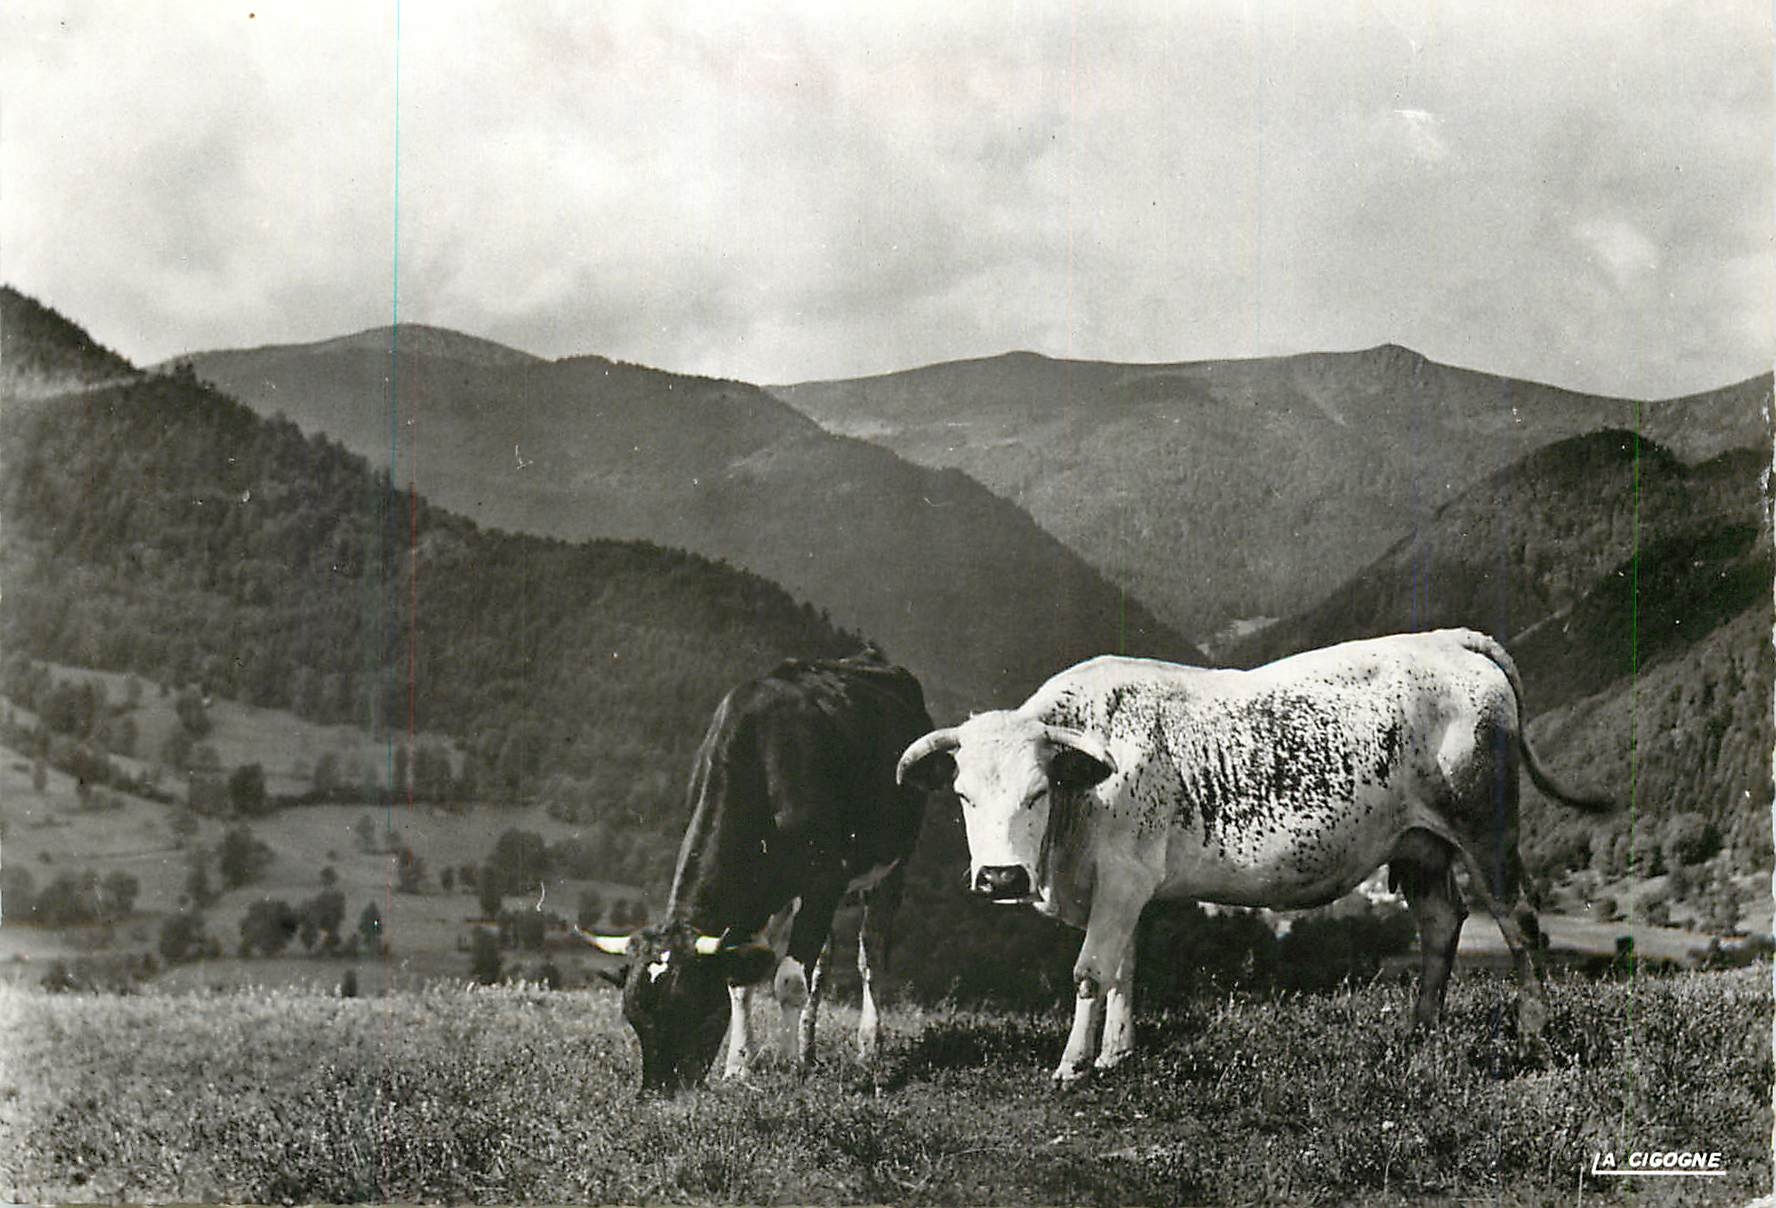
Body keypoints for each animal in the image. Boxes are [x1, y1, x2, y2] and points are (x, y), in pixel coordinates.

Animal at [586, 646, 934, 1095]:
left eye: (688, 1008)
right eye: (633, 1017)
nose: (657, 1094)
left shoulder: (824, 879)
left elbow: (789, 980)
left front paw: (785, 1067)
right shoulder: (757, 896)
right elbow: (741, 984)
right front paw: (739, 1066)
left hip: (893, 863)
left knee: (868, 953)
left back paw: (867, 1047)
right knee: (823, 962)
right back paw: (807, 1049)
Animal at [896, 629, 1612, 1084]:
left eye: (1037, 791)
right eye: (961, 796)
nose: (1000, 877)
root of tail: (1449, 639)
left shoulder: (1123, 877)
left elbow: (1092, 973)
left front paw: (1073, 1065)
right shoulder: (1122, 888)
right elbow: (1126, 969)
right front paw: (1115, 1056)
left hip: (1485, 829)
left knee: (1519, 922)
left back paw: (1531, 1032)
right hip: (1419, 844)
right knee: (1441, 921)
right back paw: (1419, 1030)